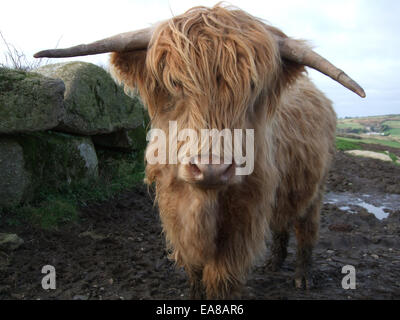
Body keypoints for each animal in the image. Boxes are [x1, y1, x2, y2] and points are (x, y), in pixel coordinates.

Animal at [36, 4, 364, 300]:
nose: (212, 169)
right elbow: (193, 268)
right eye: (174, 83)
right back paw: (274, 263)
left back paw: (303, 277)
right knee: (283, 221)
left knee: (306, 227)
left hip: (316, 189)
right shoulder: (174, 210)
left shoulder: (243, 221)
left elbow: (221, 277)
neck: (202, 204)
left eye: (253, 87)